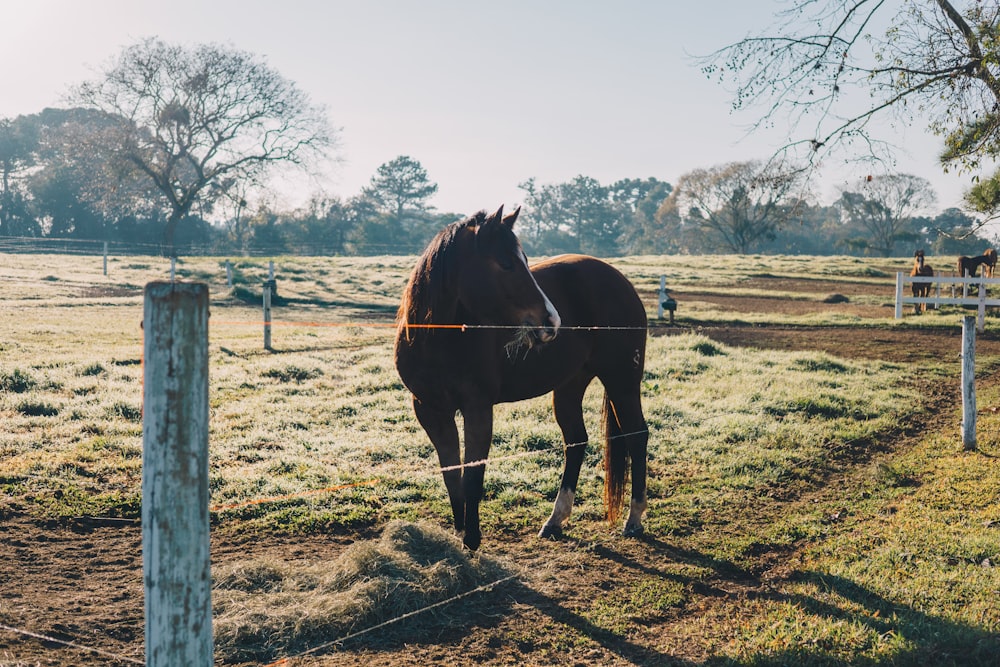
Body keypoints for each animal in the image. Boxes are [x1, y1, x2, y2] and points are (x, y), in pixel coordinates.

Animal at [394, 206, 652, 552]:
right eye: (506, 263)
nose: (552, 320)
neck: (440, 340)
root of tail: (621, 281)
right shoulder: (430, 411)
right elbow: (451, 476)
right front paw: (460, 535)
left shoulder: (478, 409)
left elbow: (473, 474)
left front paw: (472, 540)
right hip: (570, 385)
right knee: (576, 440)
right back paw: (555, 520)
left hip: (622, 380)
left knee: (637, 436)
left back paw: (634, 518)